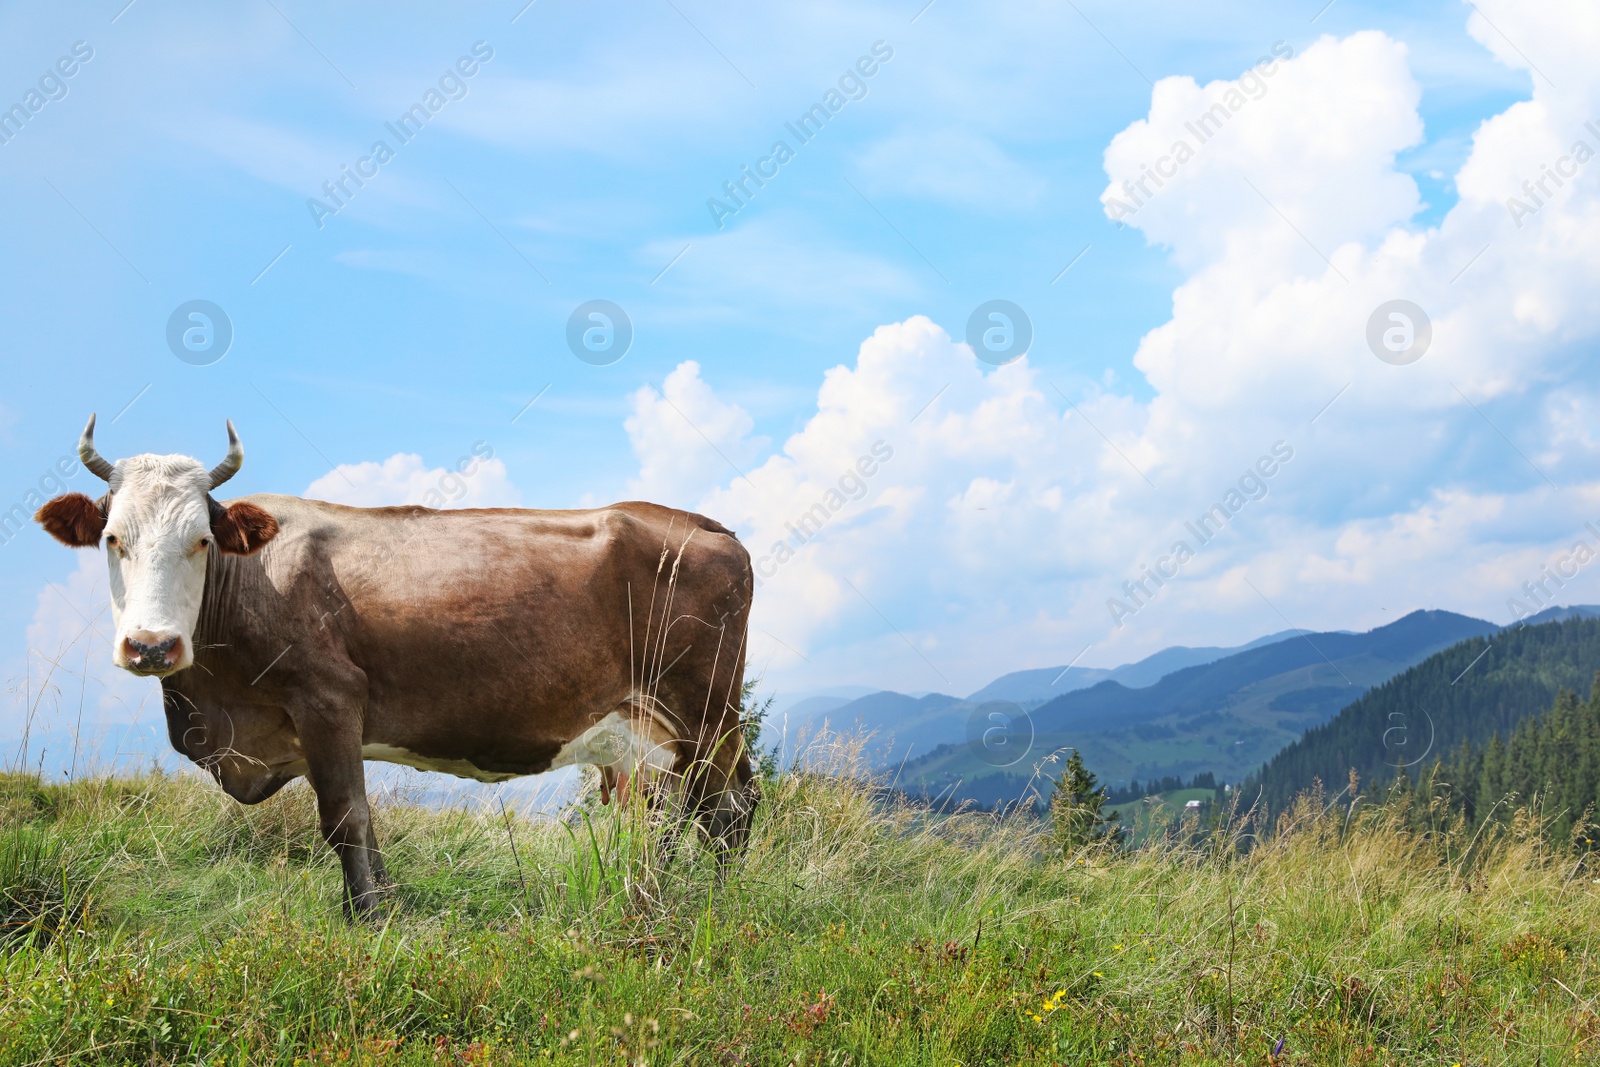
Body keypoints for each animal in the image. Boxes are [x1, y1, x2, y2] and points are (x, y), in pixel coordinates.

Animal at [34, 415, 758, 921]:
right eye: (112, 539)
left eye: (202, 541)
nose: (152, 646)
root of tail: (702, 524)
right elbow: (360, 819)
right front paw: (377, 902)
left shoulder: (328, 699)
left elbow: (345, 817)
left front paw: (368, 916)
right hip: (654, 731)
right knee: (686, 809)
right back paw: (662, 891)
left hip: (706, 712)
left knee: (726, 807)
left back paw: (712, 899)